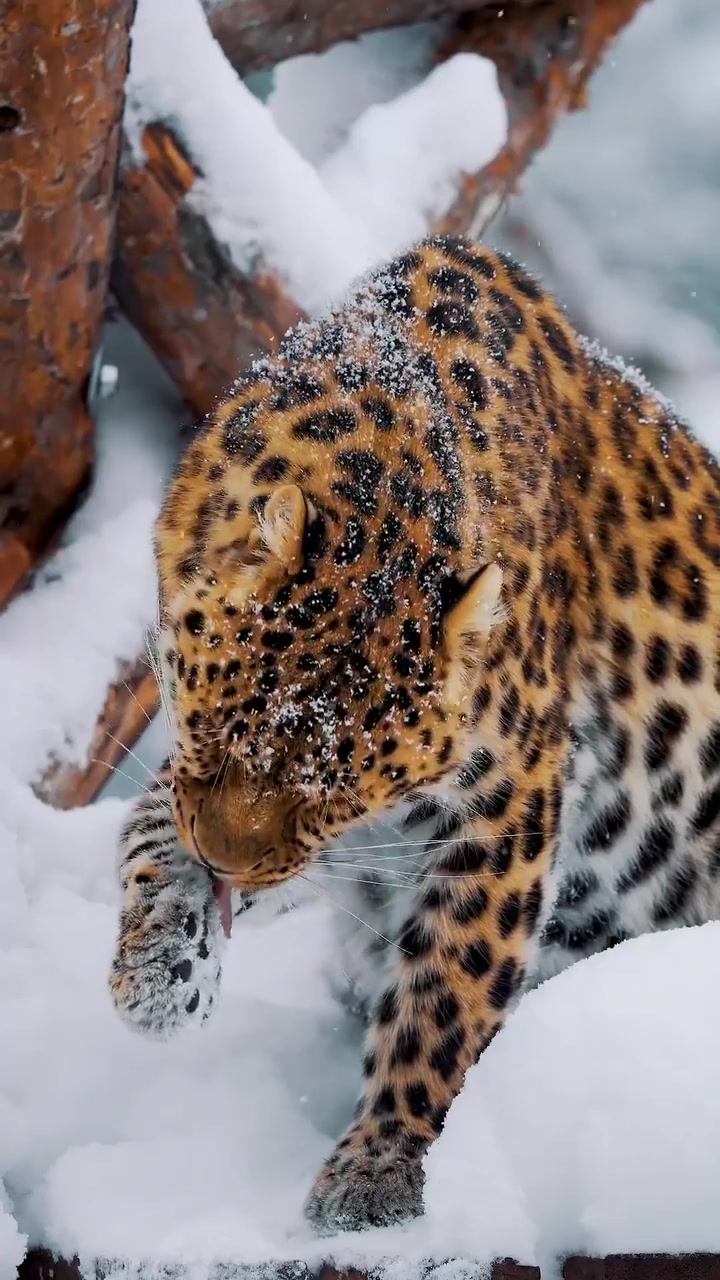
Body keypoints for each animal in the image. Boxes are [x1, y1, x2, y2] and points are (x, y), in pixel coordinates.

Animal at [109, 233, 720, 1235]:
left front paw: (381, 1166)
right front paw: (161, 968)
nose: (227, 863)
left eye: (335, 793)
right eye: (218, 728)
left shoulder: (507, 805)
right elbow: (153, 829)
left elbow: (450, 989)